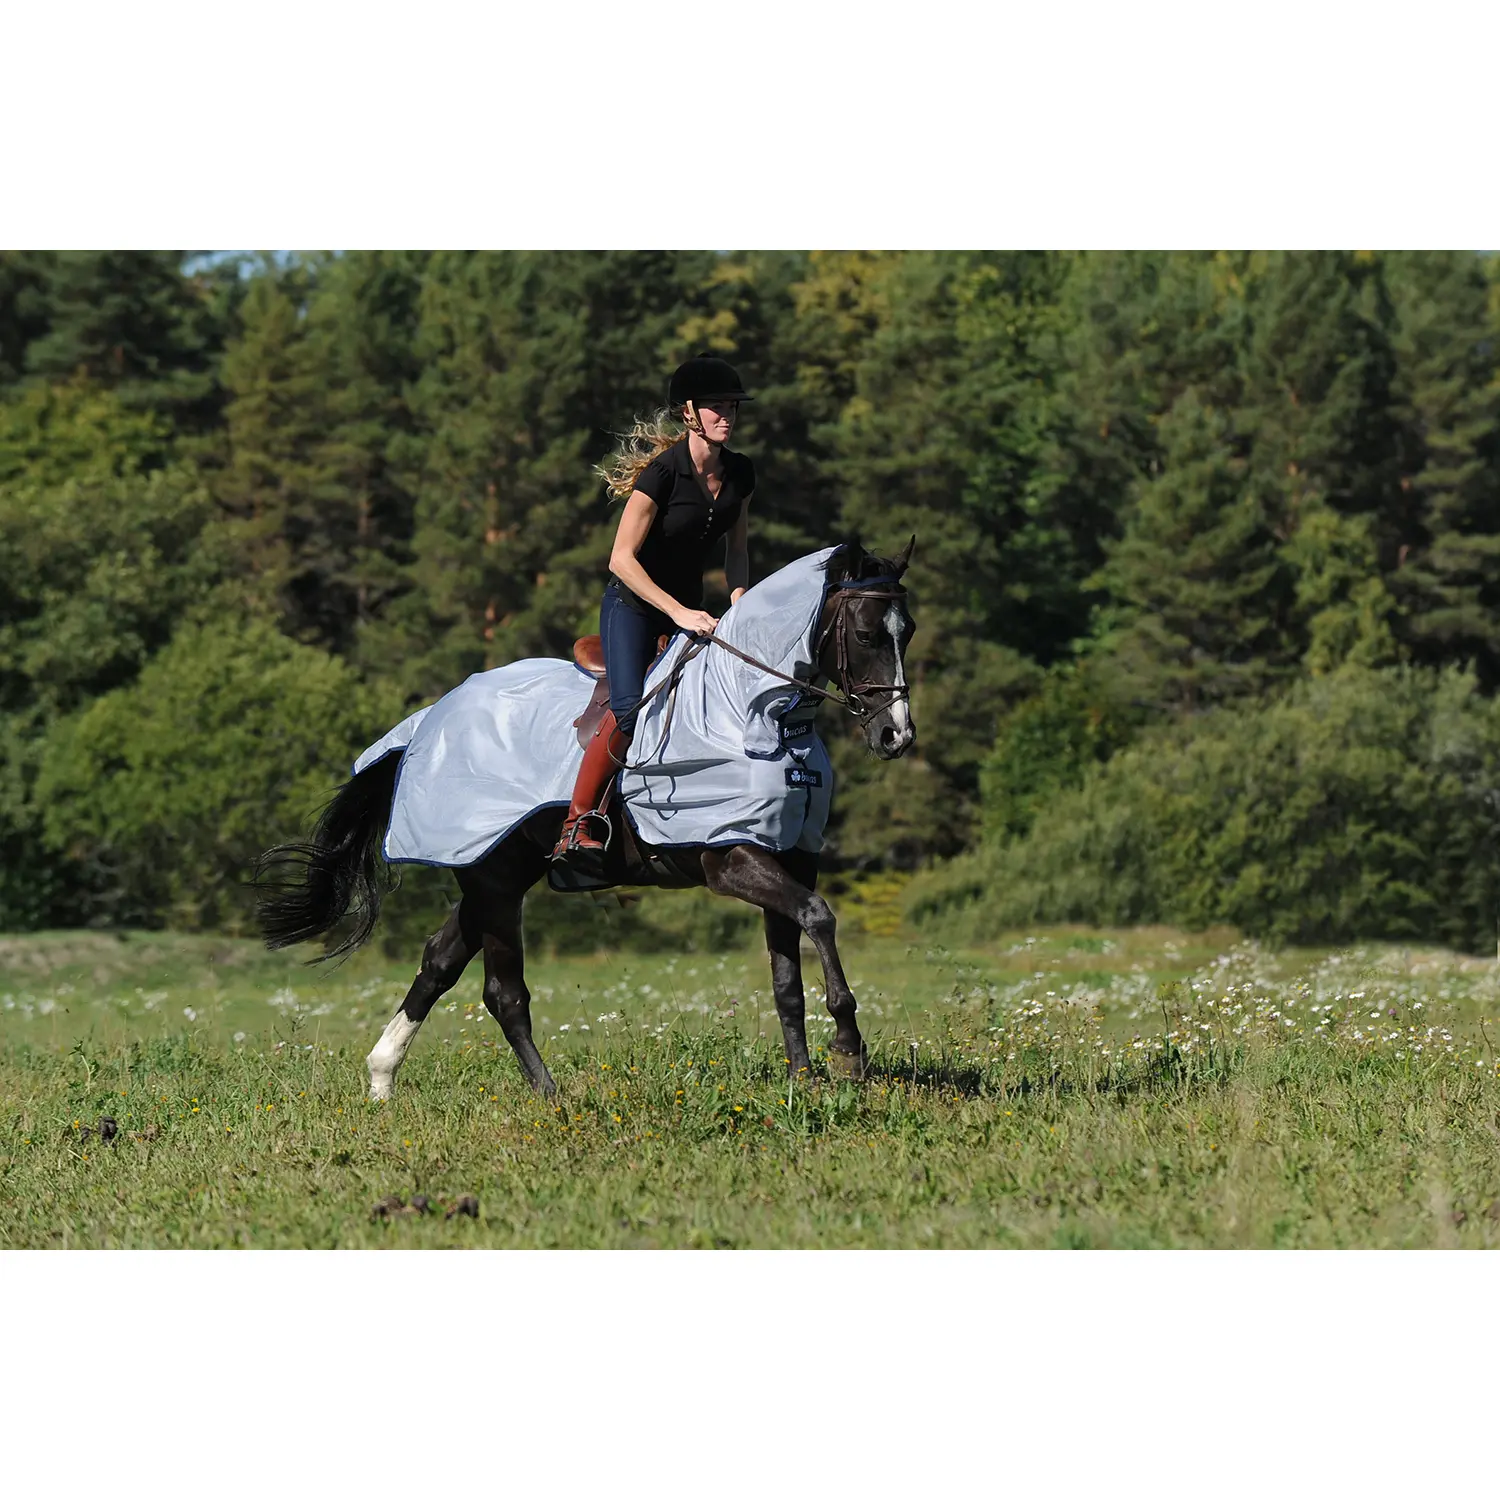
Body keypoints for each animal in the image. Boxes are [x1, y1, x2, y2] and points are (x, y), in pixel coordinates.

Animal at [253, 538, 917, 1100]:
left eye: (905, 631)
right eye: (864, 633)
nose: (897, 735)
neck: (753, 714)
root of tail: (429, 720)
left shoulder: (787, 854)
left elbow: (787, 978)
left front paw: (805, 1077)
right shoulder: (729, 859)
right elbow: (819, 916)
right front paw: (849, 1050)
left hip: (495, 873)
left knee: (440, 959)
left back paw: (382, 1078)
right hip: (495, 883)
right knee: (503, 994)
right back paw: (550, 1097)